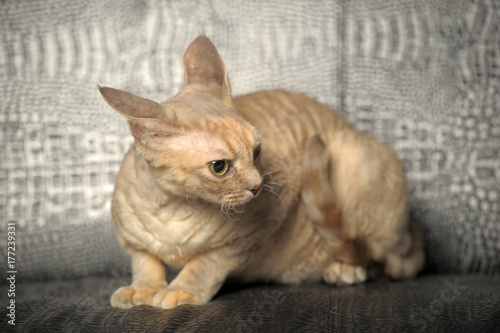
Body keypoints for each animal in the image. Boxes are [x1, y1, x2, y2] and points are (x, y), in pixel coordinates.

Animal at [99, 35, 424, 308]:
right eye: (220, 167)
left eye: (257, 152)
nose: (257, 186)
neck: (174, 209)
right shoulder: (131, 243)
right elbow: (146, 262)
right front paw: (143, 289)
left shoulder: (251, 233)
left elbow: (205, 264)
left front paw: (182, 290)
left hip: (352, 160)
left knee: (383, 258)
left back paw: (345, 269)